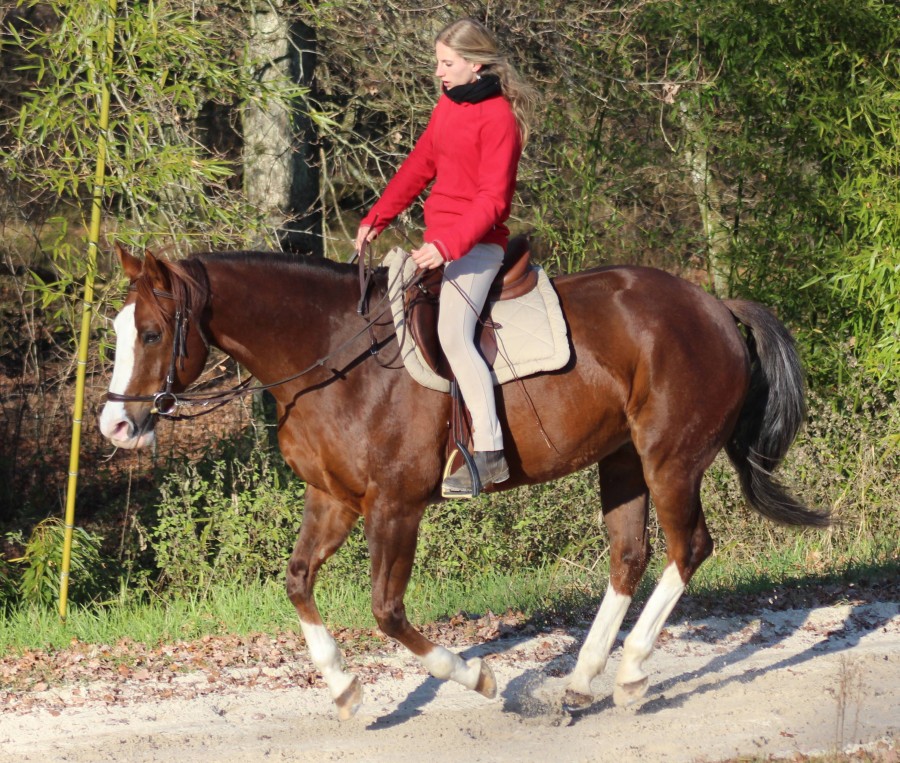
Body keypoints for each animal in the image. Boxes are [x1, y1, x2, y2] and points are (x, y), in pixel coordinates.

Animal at [100, 246, 828, 724]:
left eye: (152, 333)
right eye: (117, 330)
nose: (113, 424)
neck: (333, 355)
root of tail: (712, 305)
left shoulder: (394, 506)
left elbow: (387, 610)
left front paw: (476, 675)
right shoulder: (333, 499)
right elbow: (299, 581)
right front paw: (344, 688)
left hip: (669, 459)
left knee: (689, 548)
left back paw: (628, 673)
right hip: (622, 461)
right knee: (630, 557)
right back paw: (580, 681)